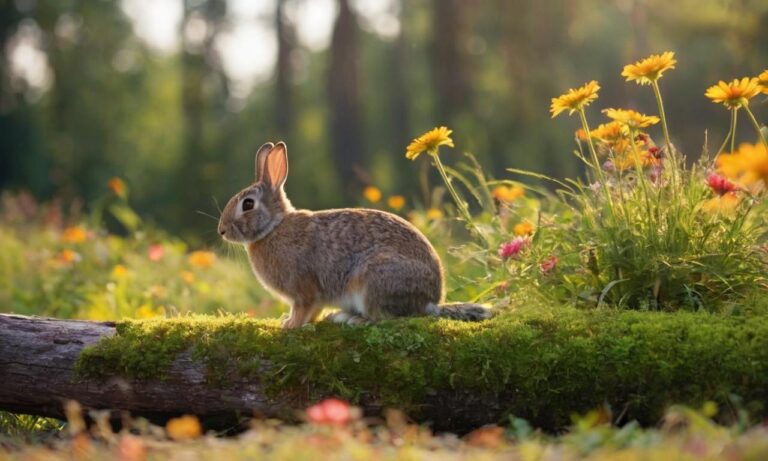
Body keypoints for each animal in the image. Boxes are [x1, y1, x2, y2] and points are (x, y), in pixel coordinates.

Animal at [216, 141, 492, 328]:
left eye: (248, 204)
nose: (222, 231)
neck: (273, 227)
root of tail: (429, 300)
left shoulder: (304, 290)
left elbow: (304, 309)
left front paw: (290, 325)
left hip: (373, 278)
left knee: (384, 318)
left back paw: (350, 319)